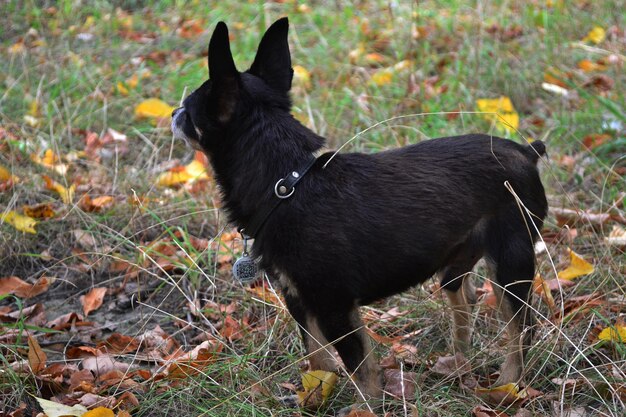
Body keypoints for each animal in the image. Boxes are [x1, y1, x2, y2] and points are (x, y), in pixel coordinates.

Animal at [171, 17, 544, 398]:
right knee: (464, 305)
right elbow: (317, 357)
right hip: (456, 266)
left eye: (188, 112)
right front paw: (315, 397)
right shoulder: (299, 300)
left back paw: (506, 385)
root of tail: (526, 151)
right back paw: (459, 366)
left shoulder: (334, 307)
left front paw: (363, 406)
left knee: (521, 328)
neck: (287, 183)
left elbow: (363, 372)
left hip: (510, 261)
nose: (173, 112)